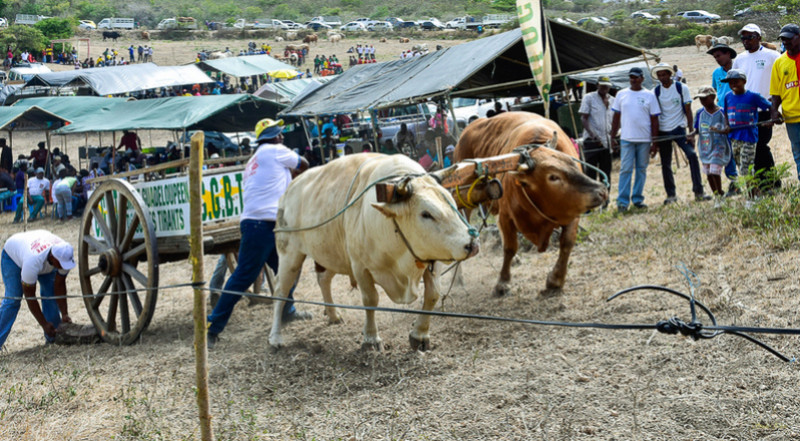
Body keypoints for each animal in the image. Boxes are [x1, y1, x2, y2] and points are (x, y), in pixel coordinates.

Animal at [272, 155, 478, 350]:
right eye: (426, 214)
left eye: (453, 203)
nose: (471, 244)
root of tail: (289, 189)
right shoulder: (360, 267)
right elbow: (370, 299)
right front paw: (371, 339)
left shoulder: (432, 259)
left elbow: (433, 295)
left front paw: (420, 335)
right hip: (289, 254)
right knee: (281, 291)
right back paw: (275, 337)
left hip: (331, 255)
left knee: (323, 280)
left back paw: (333, 314)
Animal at [456, 111, 608, 296]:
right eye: (553, 176)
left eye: (573, 163)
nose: (601, 191)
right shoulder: (506, 216)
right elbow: (510, 247)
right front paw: (503, 281)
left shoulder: (573, 211)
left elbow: (567, 243)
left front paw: (556, 279)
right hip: (464, 201)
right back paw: (459, 276)